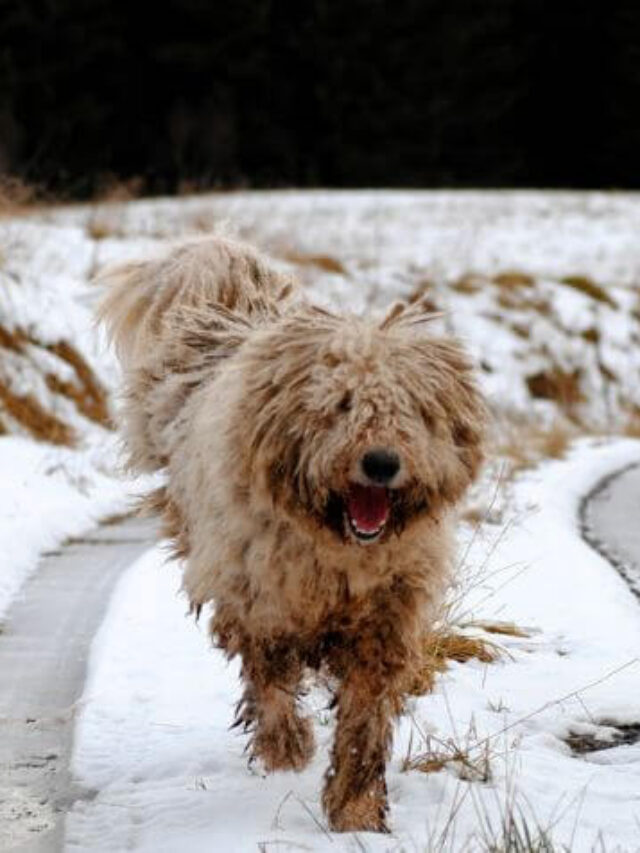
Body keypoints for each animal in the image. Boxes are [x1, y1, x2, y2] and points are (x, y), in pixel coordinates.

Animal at [99, 235, 484, 832]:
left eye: (412, 410)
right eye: (341, 404)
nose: (380, 463)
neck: (337, 547)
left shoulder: (387, 615)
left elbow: (365, 717)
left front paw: (356, 809)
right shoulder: (259, 599)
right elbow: (270, 678)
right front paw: (287, 747)